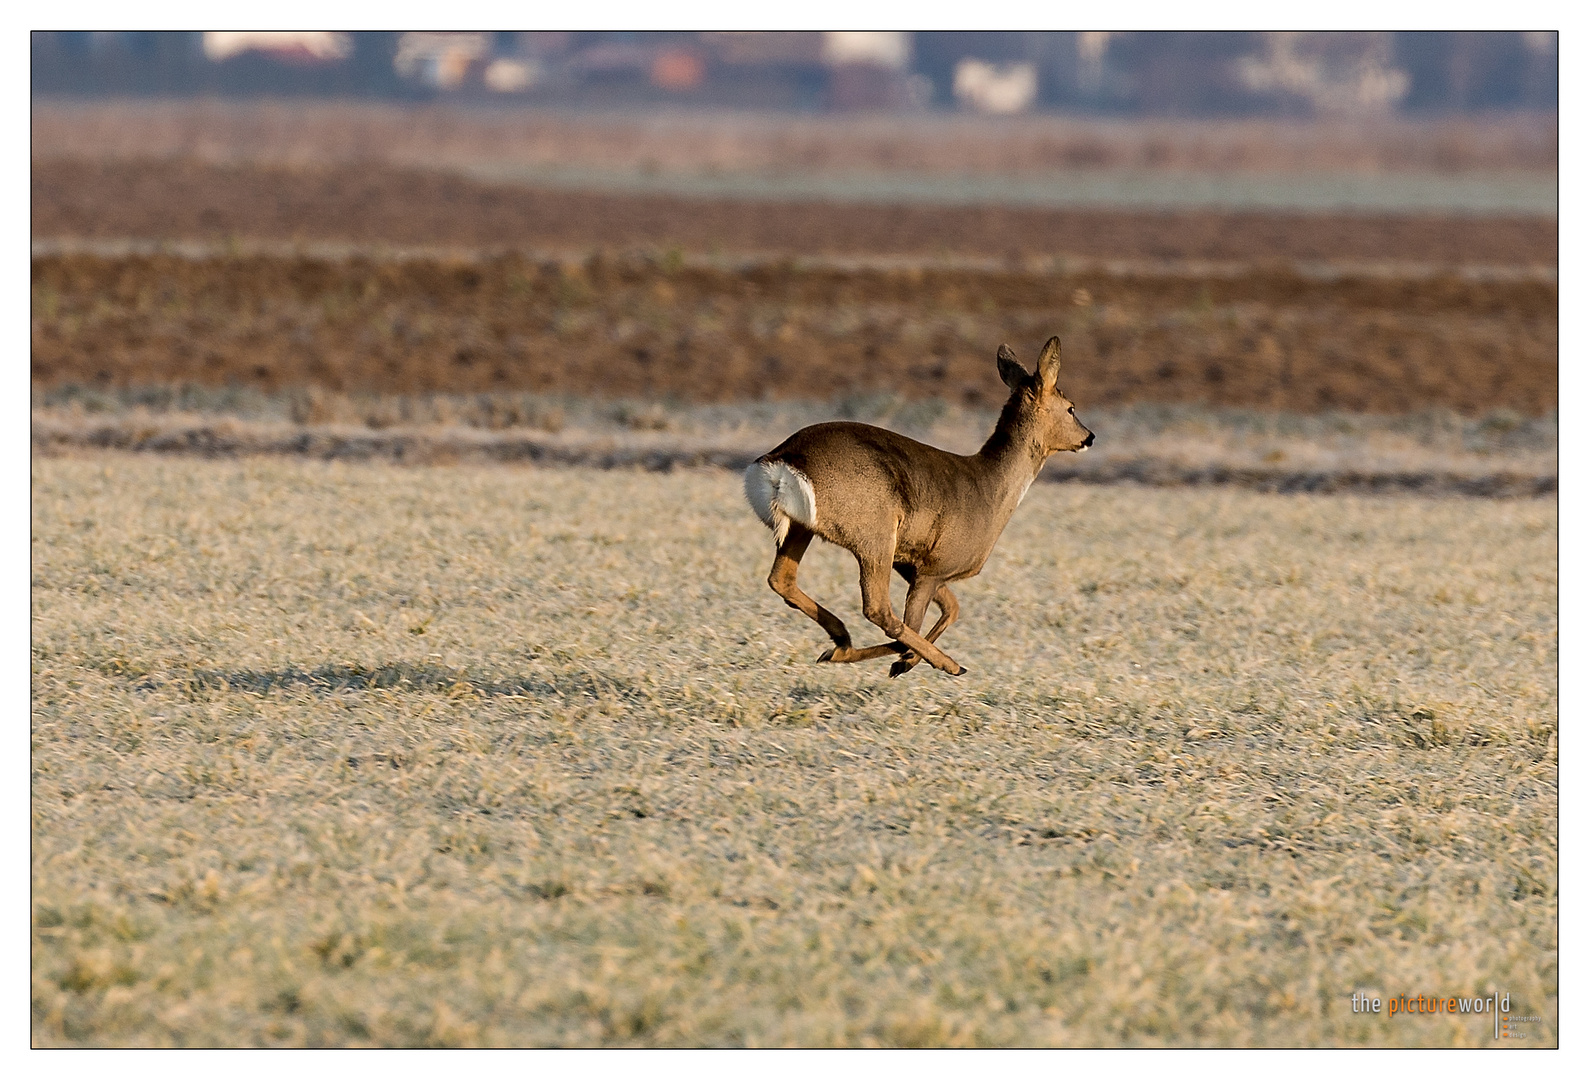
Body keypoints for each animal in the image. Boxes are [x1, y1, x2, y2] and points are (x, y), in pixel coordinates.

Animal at [743, 333, 1093, 679]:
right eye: (1071, 408)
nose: (1089, 437)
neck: (990, 489)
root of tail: (781, 461)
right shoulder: (934, 566)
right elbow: (920, 621)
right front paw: (908, 662)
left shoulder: (912, 562)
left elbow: (952, 609)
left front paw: (902, 660)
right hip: (874, 534)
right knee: (879, 610)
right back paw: (941, 662)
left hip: (804, 528)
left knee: (781, 579)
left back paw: (840, 640)